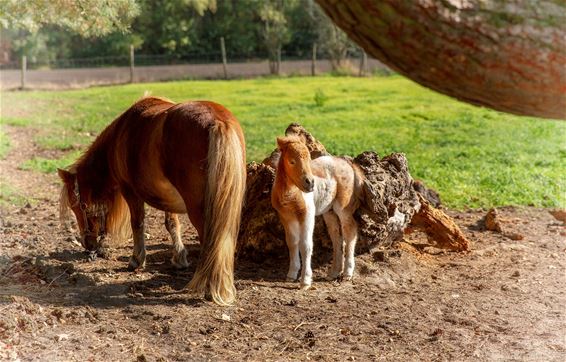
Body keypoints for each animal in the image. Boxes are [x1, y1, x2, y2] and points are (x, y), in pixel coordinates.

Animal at [57, 96, 246, 306]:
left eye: (78, 206)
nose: (87, 244)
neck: (120, 135)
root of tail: (218, 121)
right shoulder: (167, 199)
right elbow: (172, 224)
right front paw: (179, 257)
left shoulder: (130, 191)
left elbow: (137, 223)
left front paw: (136, 260)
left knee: (211, 242)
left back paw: (209, 287)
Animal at [272, 135, 366, 288]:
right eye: (291, 161)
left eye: (309, 159)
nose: (310, 183)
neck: (290, 194)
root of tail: (348, 164)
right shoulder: (286, 217)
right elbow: (292, 242)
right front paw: (291, 275)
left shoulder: (307, 214)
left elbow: (306, 245)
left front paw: (305, 281)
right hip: (329, 211)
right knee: (336, 237)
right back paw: (334, 273)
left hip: (342, 207)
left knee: (350, 232)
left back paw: (347, 273)